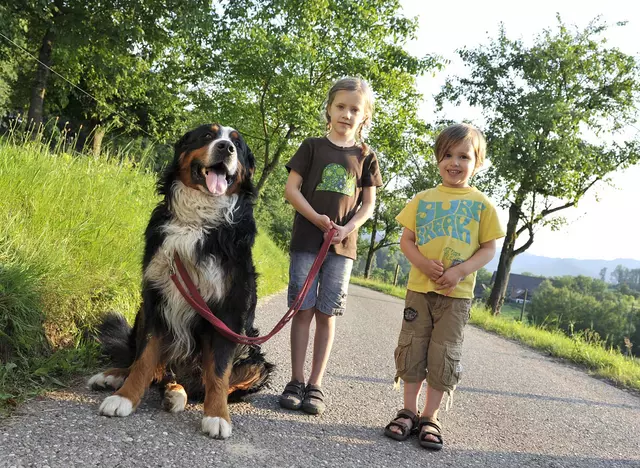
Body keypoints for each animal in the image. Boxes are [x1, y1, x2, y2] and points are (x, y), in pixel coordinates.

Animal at [87, 123, 272, 438]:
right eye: (208, 135)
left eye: (238, 144)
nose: (225, 147)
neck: (196, 221)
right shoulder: (156, 296)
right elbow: (144, 358)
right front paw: (125, 397)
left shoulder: (228, 311)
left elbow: (219, 372)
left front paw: (217, 416)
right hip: (143, 313)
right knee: (153, 367)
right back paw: (117, 378)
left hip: (254, 356)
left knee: (205, 383)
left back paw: (180, 394)